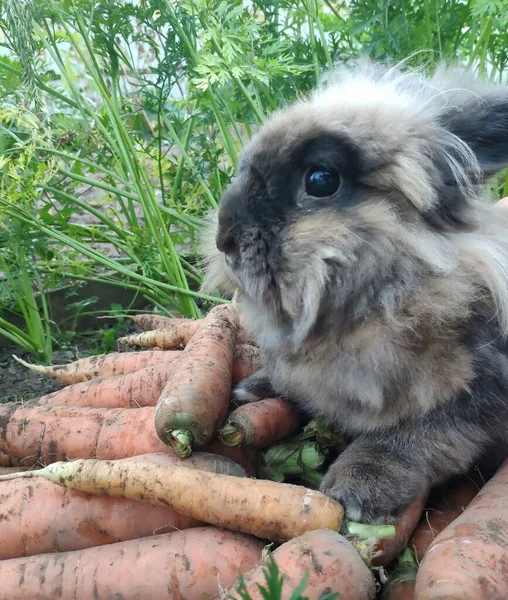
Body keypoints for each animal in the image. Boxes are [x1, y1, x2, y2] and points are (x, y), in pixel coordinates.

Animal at [200, 58, 508, 524]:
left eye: (321, 179)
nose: (225, 240)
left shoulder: (471, 398)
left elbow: (412, 438)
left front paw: (356, 492)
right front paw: (250, 390)